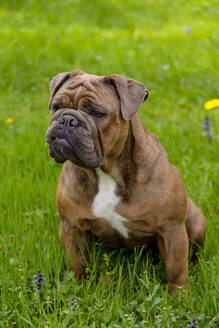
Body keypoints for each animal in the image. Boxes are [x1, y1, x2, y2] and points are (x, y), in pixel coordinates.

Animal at [45, 70, 206, 294]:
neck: (105, 174)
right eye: (56, 106)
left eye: (96, 113)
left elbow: (176, 269)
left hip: (196, 222)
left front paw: (179, 296)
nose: (67, 119)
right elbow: (76, 263)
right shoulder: (71, 226)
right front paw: (75, 288)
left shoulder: (171, 229)